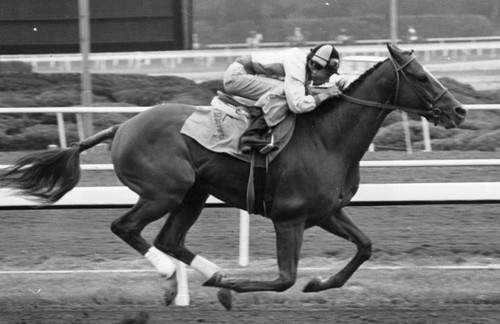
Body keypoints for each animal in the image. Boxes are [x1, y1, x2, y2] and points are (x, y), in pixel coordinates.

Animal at [1, 43, 466, 308]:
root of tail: (122, 126)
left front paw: (320, 283)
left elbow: (365, 247)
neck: (327, 139)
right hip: (164, 192)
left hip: (193, 194)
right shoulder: (289, 217)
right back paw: (176, 279)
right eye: (421, 76)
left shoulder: (326, 212)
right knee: (127, 227)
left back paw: (215, 279)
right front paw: (246, 286)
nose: (458, 110)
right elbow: (283, 278)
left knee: (169, 239)